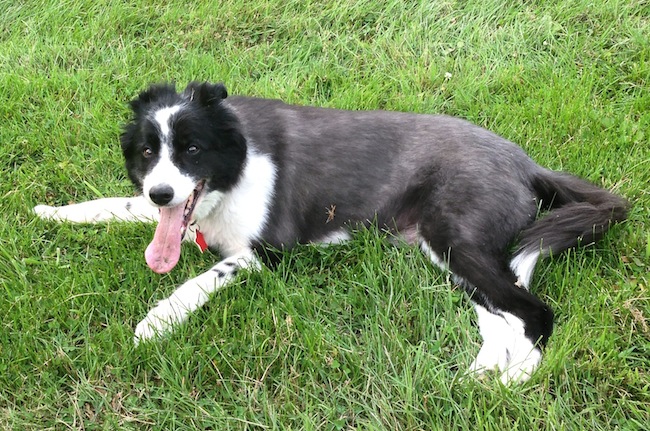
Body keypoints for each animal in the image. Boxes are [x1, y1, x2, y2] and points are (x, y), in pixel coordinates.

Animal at [34, 82, 624, 384]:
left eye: (193, 149)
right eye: (147, 152)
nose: (162, 193)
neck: (237, 162)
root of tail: (526, 163)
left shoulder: (269, 250)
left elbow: (202, 278)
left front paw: (157, 322)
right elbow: (117, 205)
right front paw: (53, 213)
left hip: (455, 237)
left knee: (535, 311)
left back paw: (514, 379)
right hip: (449, 252)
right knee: (501, 311)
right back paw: (486, 366)